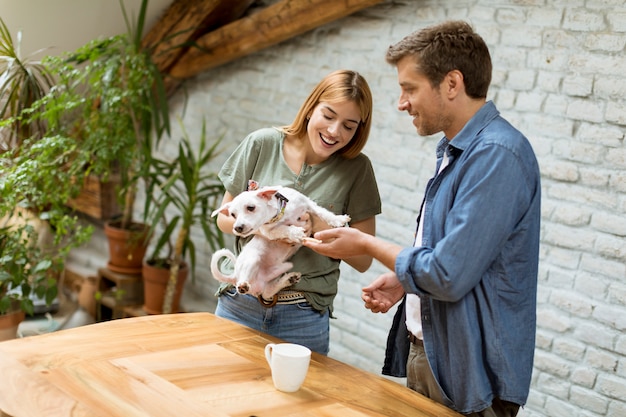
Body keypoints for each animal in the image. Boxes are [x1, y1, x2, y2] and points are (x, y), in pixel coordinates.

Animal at [208, 187, 346, 300]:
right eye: (232, 215)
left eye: (251, 207)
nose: (237, 228)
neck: (281, 214)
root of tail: (234, 275)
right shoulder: (269, 231)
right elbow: (284, 229)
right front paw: (295, 232)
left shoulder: (308, 203)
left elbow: (322, 212)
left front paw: (338, 220)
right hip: (252, 259)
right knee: (243, 282)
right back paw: (243, 285)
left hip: (284, 267)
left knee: (267, 292)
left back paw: (288, 279)